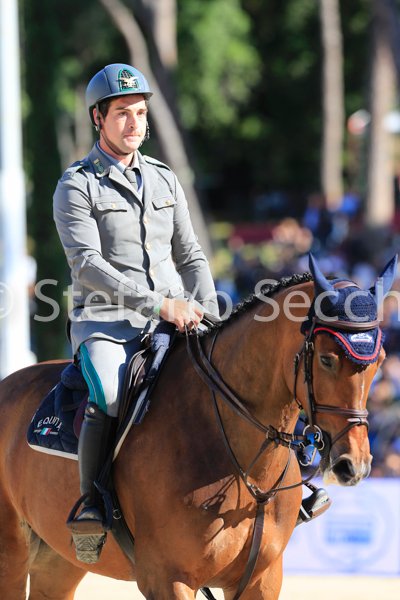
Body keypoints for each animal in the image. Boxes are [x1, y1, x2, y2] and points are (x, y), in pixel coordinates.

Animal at [0, 255, 396, 600]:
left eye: (379, 359)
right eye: (327, 360)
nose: (354, 466)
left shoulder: (263, 579)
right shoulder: (168, 580)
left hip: (60, 559)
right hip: (13, 555)